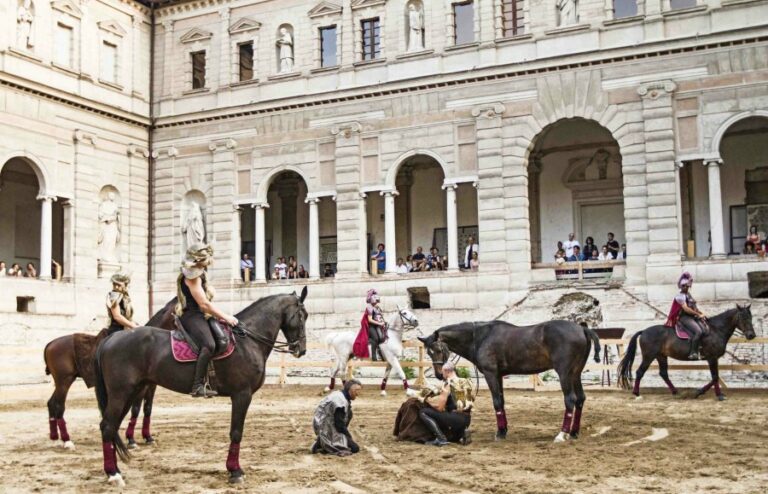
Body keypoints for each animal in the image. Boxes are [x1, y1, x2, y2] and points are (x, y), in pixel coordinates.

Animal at [43, 296, 177, 450]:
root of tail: (51, 343)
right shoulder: (140, 388)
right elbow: (136, 409)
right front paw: (131, 439)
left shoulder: (151, 386)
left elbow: (147, 409)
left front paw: (148, 437)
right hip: (64, 381)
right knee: (59, 405)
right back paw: (67, 440)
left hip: (61, 382)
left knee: (51, 403)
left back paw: (55, 437)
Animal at [91, 288, 306, 484]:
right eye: (301, 316)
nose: (301, 350)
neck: (248, 341)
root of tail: (111, 339)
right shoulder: (242, 394)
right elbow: (236, 433)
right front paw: (235, 471)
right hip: (121, 394)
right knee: (108, 426)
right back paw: (113, 474)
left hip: (130, 392)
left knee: (112, 427)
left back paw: (115, 469)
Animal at [416, 322, 604, 442]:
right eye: (428, 352)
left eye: (438, 349)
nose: (439, 374)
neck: (480, 338)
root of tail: (582, 328)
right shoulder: (499, 375)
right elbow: (502, 401)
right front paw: (504, 430)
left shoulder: (491, 374)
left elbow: (497, 402)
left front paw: (500, 433)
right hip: (575, 373)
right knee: (580, 399)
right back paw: (573, 432)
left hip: (565, 373)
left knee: (570, 400)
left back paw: (562, 434)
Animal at [616, 302, 756, 402]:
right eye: (743, 317)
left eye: (751, 317)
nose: (751, 335)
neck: (716, 330)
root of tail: (644, 331)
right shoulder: (712, 358)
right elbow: (715, 377)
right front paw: (718, 395)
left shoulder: (713, 358)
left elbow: (714, 378)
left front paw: (700, 392)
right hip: (648, 356)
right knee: (640, 372)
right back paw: (636, 393)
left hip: (661, 356)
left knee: (663, 373)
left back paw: (676, 392)